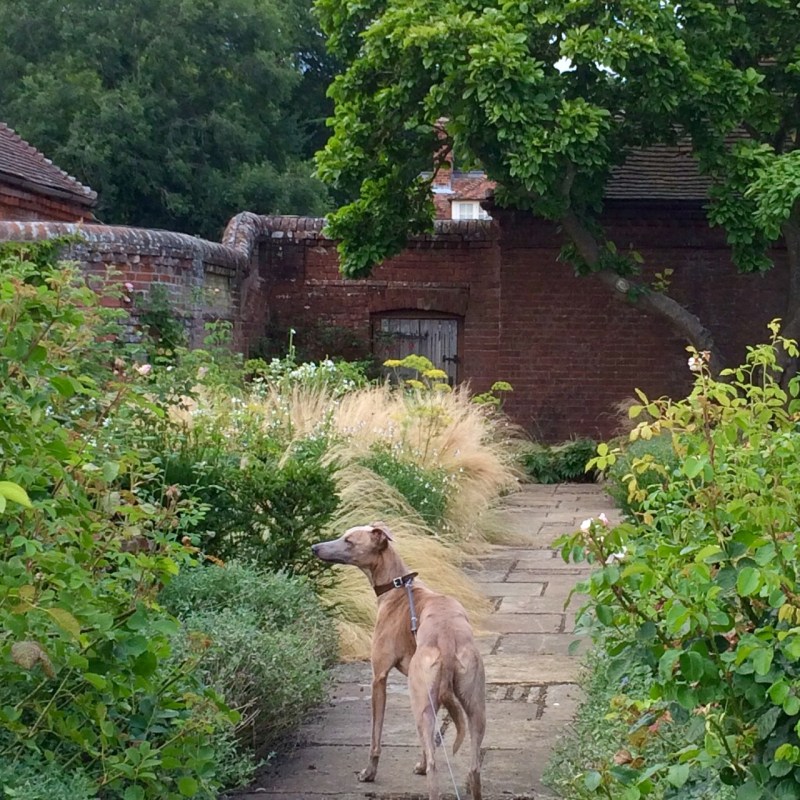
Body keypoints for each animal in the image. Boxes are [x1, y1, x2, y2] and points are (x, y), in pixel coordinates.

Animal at [312, 520, 488, 796]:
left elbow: (376, 736)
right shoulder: (431, 697)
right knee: (473, 766)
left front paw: (369, 773)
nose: (314, 548)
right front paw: (420, 763)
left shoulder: (379, 677)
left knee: (436, 767)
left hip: (420, 698)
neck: (397, 587)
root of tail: (447, 640)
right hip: (472, 703)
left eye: (349, 541)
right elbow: (427, 741)